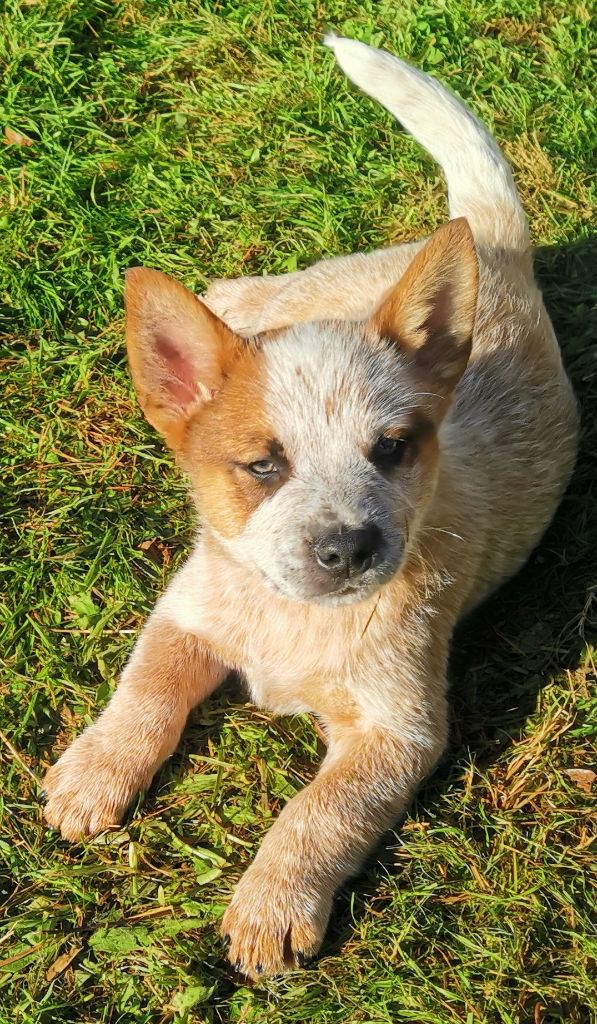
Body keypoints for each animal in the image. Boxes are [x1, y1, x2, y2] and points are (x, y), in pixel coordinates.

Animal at [43, 34, 577, 974]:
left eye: (392, 449)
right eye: (263, 465)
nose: (349, 548)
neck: (286, 617)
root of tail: (495, 249)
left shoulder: (398, 730)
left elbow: (318, 815)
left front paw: (271, 905)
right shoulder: (184, 614)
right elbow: (141, 696)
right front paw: (93, 774)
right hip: (316, 283)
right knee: (267, 294)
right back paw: (223, 297)